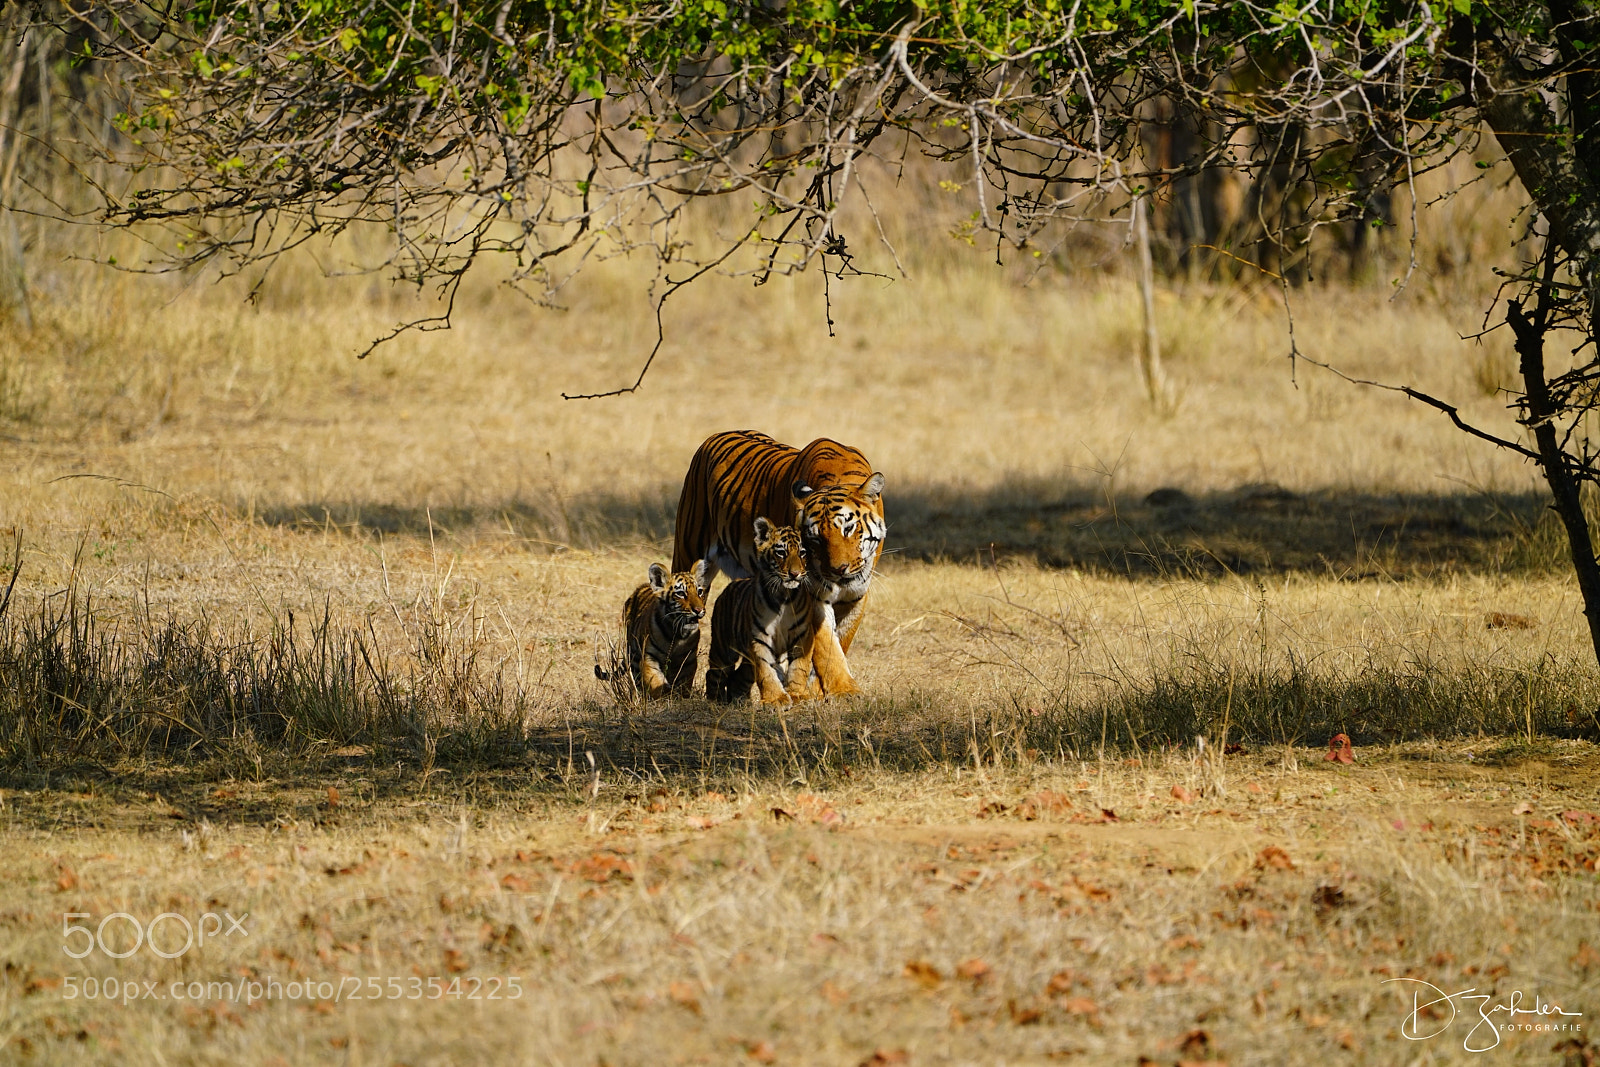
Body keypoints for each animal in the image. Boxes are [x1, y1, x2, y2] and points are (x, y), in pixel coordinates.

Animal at [594, 561, 708, 699]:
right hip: (634, 655)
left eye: (699, 592)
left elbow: (684, 684)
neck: (676, 634)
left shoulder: (688, 661)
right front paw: (663, 695)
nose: (699, 610)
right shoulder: (649, 657)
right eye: (680, 593)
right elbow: (655, 681)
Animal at [705, 518, 812, 705]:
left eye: (802, 553)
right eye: (781, 553)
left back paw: (741, 702)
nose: (795, 574)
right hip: (723, 650)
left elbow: (799, 667)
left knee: (738, 677)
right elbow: (765, 670)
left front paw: (797, 694)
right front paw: (776, 699)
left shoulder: (802, 634)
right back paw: (715, 701)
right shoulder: (760, 637)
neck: (784, 595)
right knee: (714, 673)